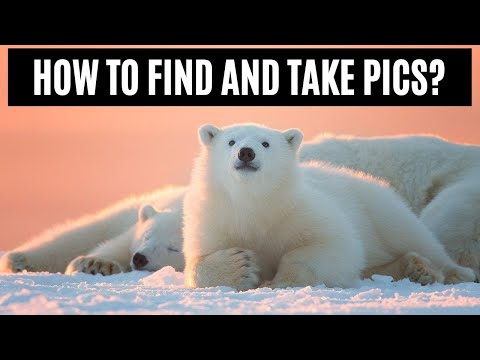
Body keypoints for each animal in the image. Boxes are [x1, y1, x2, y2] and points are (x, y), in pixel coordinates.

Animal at [0, 187, 186, 274]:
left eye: (173, 248)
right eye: (146, 237)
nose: (139, 258)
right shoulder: (130, 233)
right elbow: (117, 245)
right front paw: (95, 264)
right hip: (122, 214)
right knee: (81, 233)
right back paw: (19, 260)